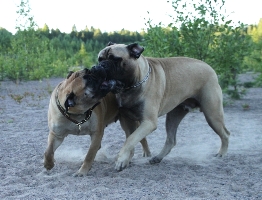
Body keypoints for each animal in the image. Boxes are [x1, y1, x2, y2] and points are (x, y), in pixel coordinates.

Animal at [95, 41, 229, 170]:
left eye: (115, 59)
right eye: (100, 59)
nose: (100, 66)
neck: (130, 86)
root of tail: (210, 68)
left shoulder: (148, 122)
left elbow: (131, 139)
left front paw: (121, 158)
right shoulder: (127, 121)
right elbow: (131, 139)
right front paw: (125, 160)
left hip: (212, 114)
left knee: (225, 134)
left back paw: (221, 153)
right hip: (174, 115)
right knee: (171, 140)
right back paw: (157, 158)